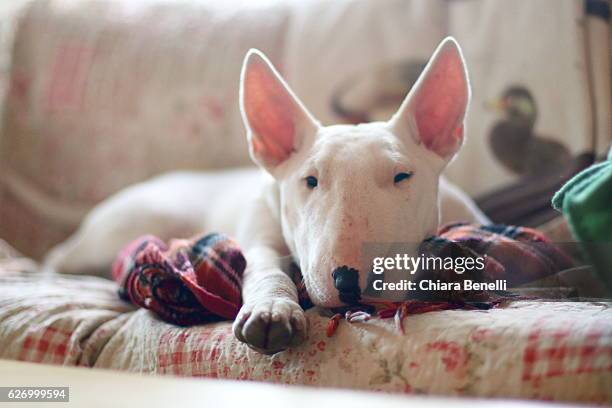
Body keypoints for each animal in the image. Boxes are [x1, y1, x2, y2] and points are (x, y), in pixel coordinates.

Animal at [44, 36, 488, 352]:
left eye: (401, 176)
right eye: (310, 180)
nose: (349, 282)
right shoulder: (260, 228)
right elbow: (264, 265)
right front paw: (272, 309)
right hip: (137, 222)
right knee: (62, 257)